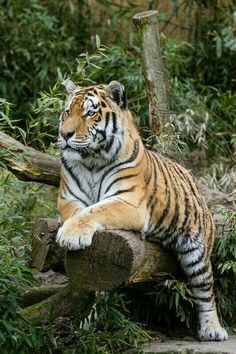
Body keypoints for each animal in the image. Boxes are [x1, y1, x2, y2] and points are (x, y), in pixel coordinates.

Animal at [55, 79, 229, 340]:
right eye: (67, 112)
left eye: (90, 113)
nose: (65, 134)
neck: (92, 161)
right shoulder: (67, 199)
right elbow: (81, 212)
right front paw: (71, 231)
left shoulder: (129, 202)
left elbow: (96, 210)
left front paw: (71, 234)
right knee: (101, 285)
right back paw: (92, 319)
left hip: (197, 253)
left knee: (206, 290)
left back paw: (213, 329)